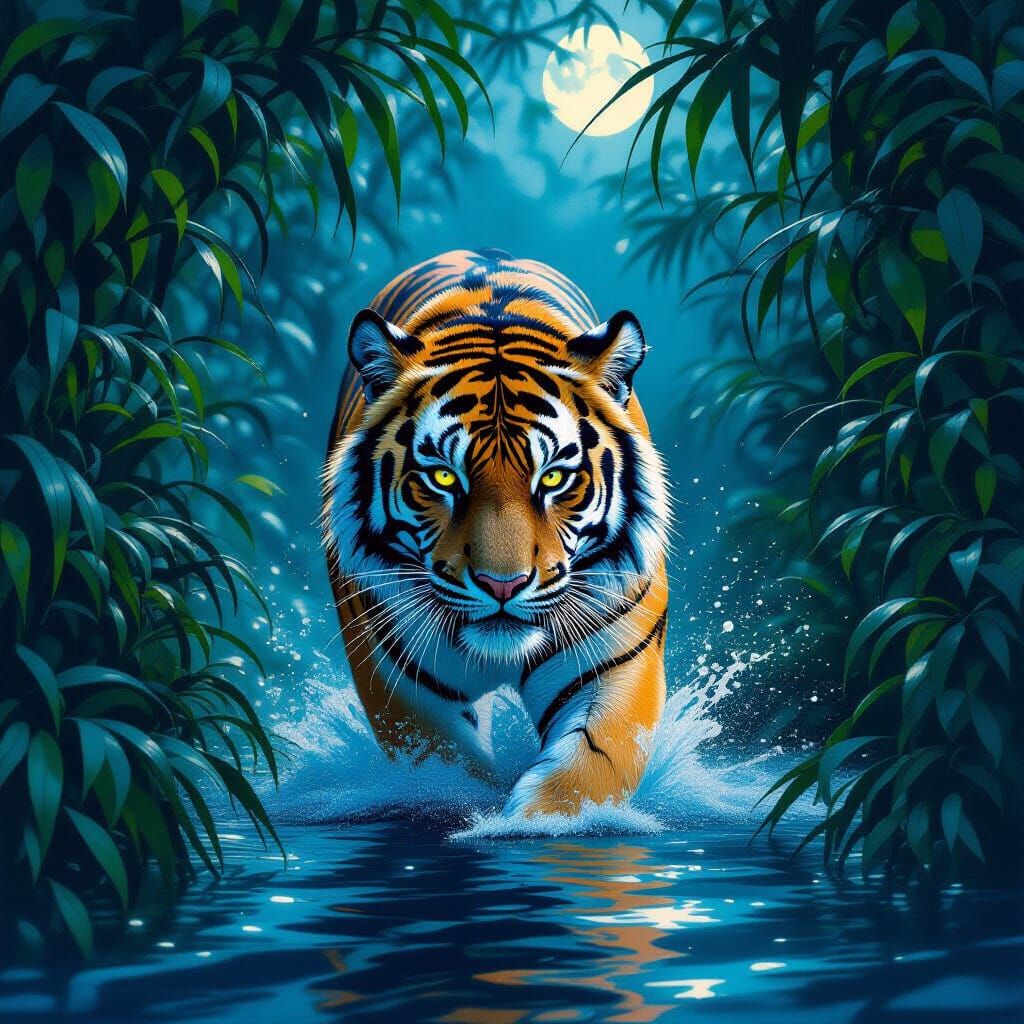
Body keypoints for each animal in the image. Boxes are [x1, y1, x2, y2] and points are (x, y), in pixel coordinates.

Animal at [322, 249, 670, 817]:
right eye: (444, 477)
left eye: (552, 478)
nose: (502, 585)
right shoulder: (401, 687)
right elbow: (447, 769)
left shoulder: (615, 664)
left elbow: (587, 769)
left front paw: (523, 824)